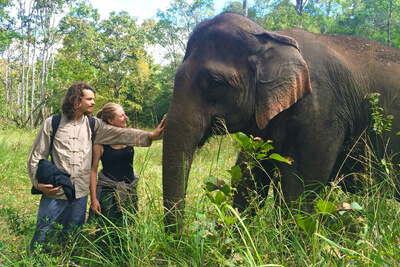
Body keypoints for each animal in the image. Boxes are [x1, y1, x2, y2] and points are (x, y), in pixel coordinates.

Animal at [161, 12, 400, 230]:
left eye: (214, 82)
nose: (181, 237)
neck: (272, 37)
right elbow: (249, 177)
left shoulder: (322, 112)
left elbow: (298, 189)